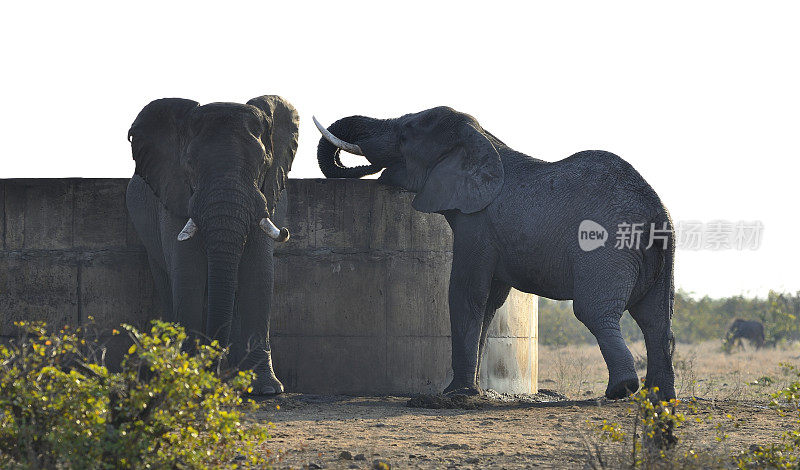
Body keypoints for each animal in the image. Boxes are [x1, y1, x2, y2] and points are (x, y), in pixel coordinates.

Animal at [126, 94, 298, 392]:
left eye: (263, 164)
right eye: (190, 165)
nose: (215, 370)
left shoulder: (268, 195)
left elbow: (259, 274)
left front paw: (265, 389)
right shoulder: (174, 194)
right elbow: (188, 273)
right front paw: (188, 379)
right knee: (166, 280)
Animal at [316, 107, 680, 400]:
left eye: (405, 134)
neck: (483, 140)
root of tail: (656, 211)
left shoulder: (477, 223)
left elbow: (466, 292)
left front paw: (452, 394)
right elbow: (490, 301)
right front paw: (467, 390)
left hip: (606, 250)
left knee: (594, 312)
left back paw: (621, 391)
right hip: (659, 254)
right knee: (656, 319)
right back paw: (659, 398)